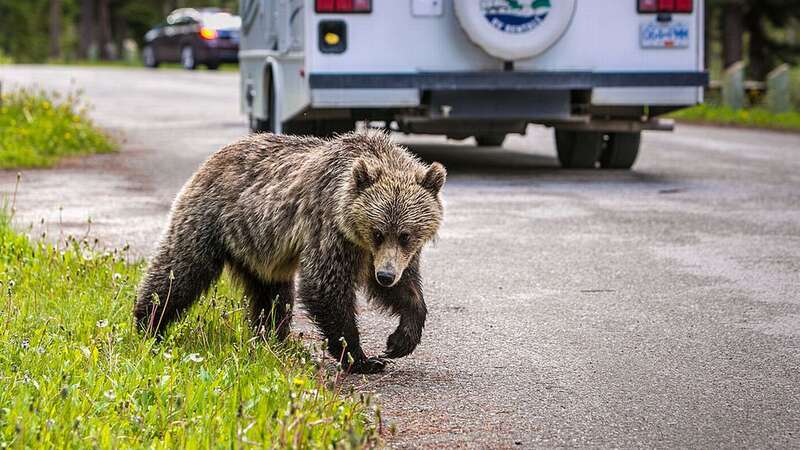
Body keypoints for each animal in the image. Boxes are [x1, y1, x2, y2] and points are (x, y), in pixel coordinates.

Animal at [131, 130, 444, 372]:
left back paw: (272, 338)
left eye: (405, 235)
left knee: (273, 295)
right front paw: (362, 359)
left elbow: (407, 290)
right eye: (377, 232)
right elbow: (325, 285)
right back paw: (148, 324)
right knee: (180, 270)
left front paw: (400, 340)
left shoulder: (388, 256)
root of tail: (214, 157)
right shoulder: (331, 229)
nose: (385, 275)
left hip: (259, 249)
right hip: (209, 220)